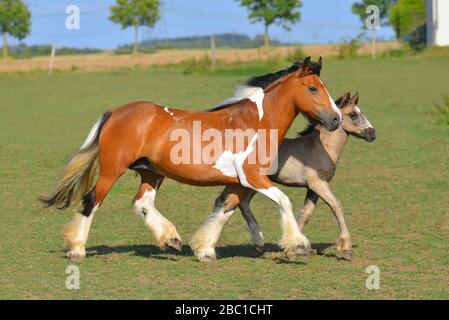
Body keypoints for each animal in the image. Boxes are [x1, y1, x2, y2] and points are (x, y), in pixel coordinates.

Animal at [40, 57, 342, 262]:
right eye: (313, 88)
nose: (336, 119)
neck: (256, 122)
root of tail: (116, 112)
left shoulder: (239, 182)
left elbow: (226, 210)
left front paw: (205, 249)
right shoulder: (253, 177)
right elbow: (284, 201)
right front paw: (298, 244)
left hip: (152, 172)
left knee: (142, 204)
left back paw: (171, 238)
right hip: (111, 171)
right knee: (91, 201)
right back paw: (77, 249)